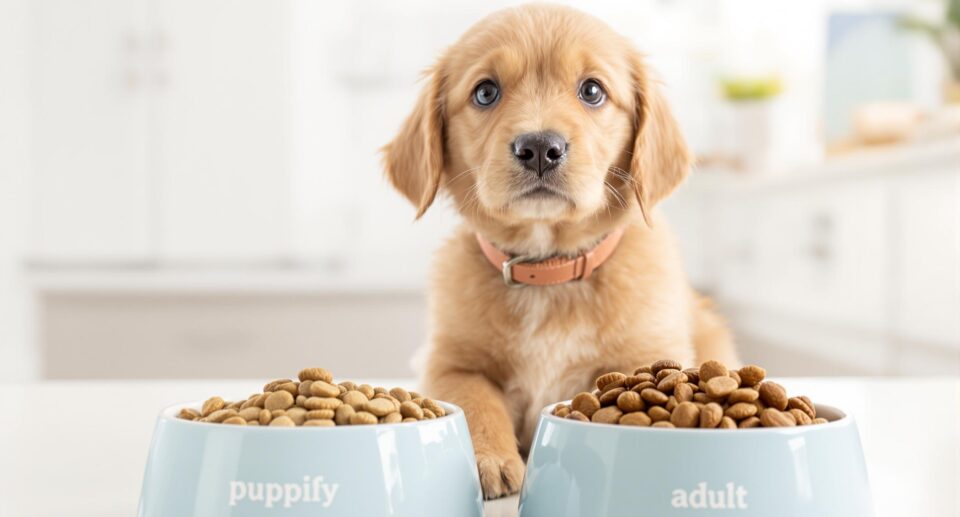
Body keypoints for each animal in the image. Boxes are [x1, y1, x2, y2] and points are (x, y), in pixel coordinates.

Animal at [380, 3, 736, 496]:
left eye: (592, 90)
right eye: (485, 92)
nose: (539, 147)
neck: (548, 271)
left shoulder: (648, 354)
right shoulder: (448, 363)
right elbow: (475, 401)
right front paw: (490, 458)